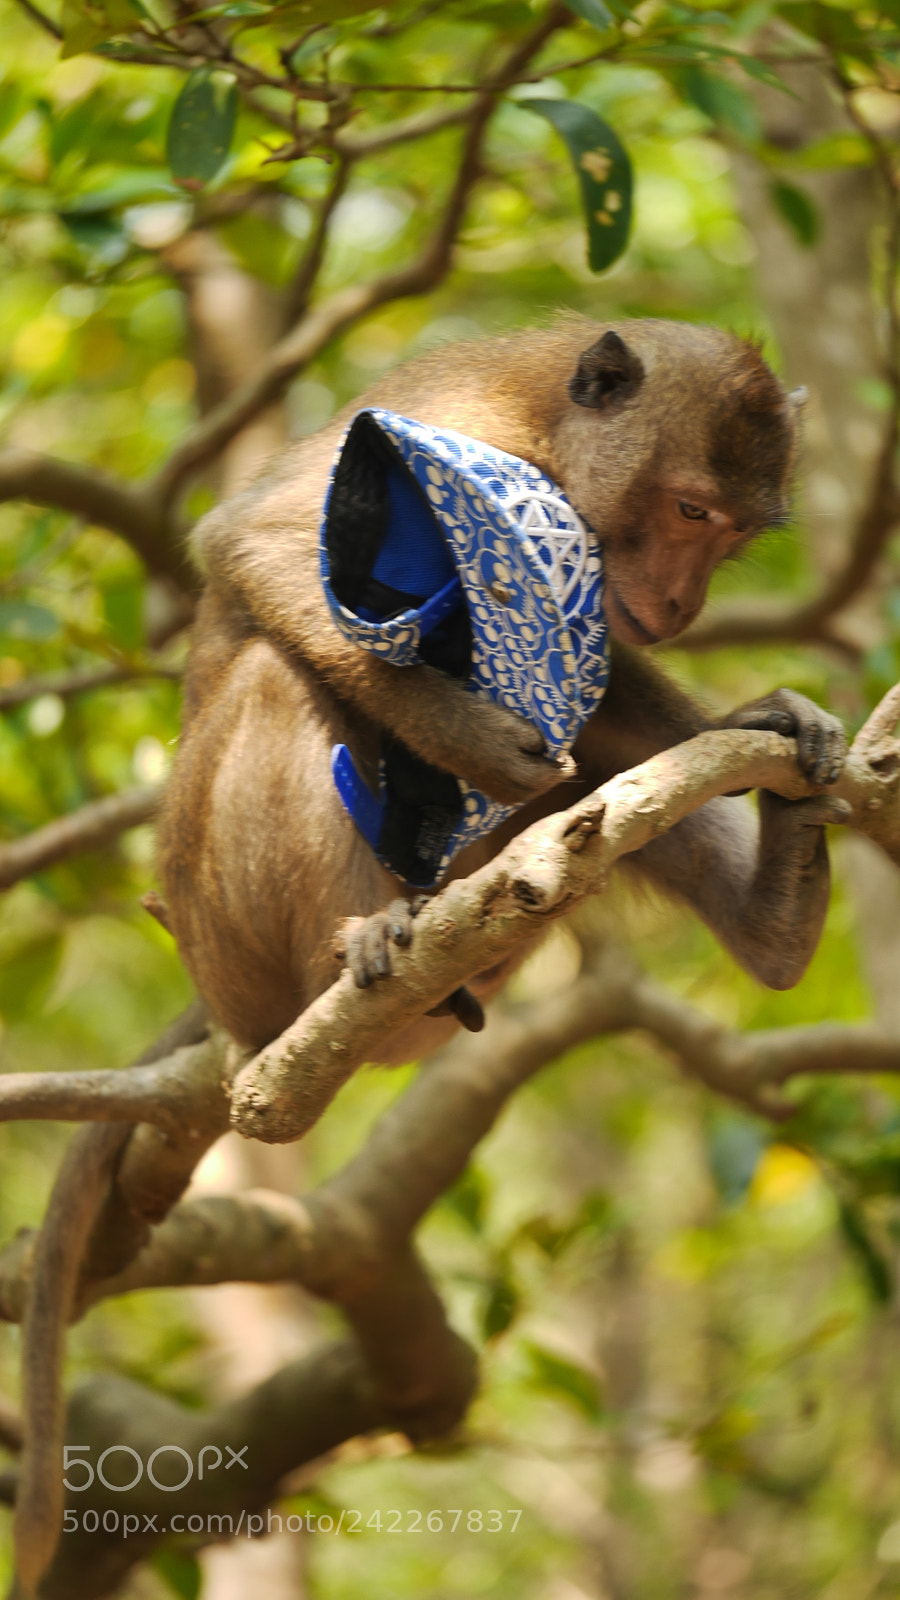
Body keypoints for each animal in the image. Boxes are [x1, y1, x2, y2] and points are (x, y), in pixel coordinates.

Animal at [156, 316, 848, 1060]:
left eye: (736, 531)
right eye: (692, 511)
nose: (681, 603)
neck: (546, 425)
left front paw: (744, 723)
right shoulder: (463, 440)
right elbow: (251, 540)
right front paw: (469, 739)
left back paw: (777, 915)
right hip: (232, 963)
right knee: (273, 677)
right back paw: (340, 961)